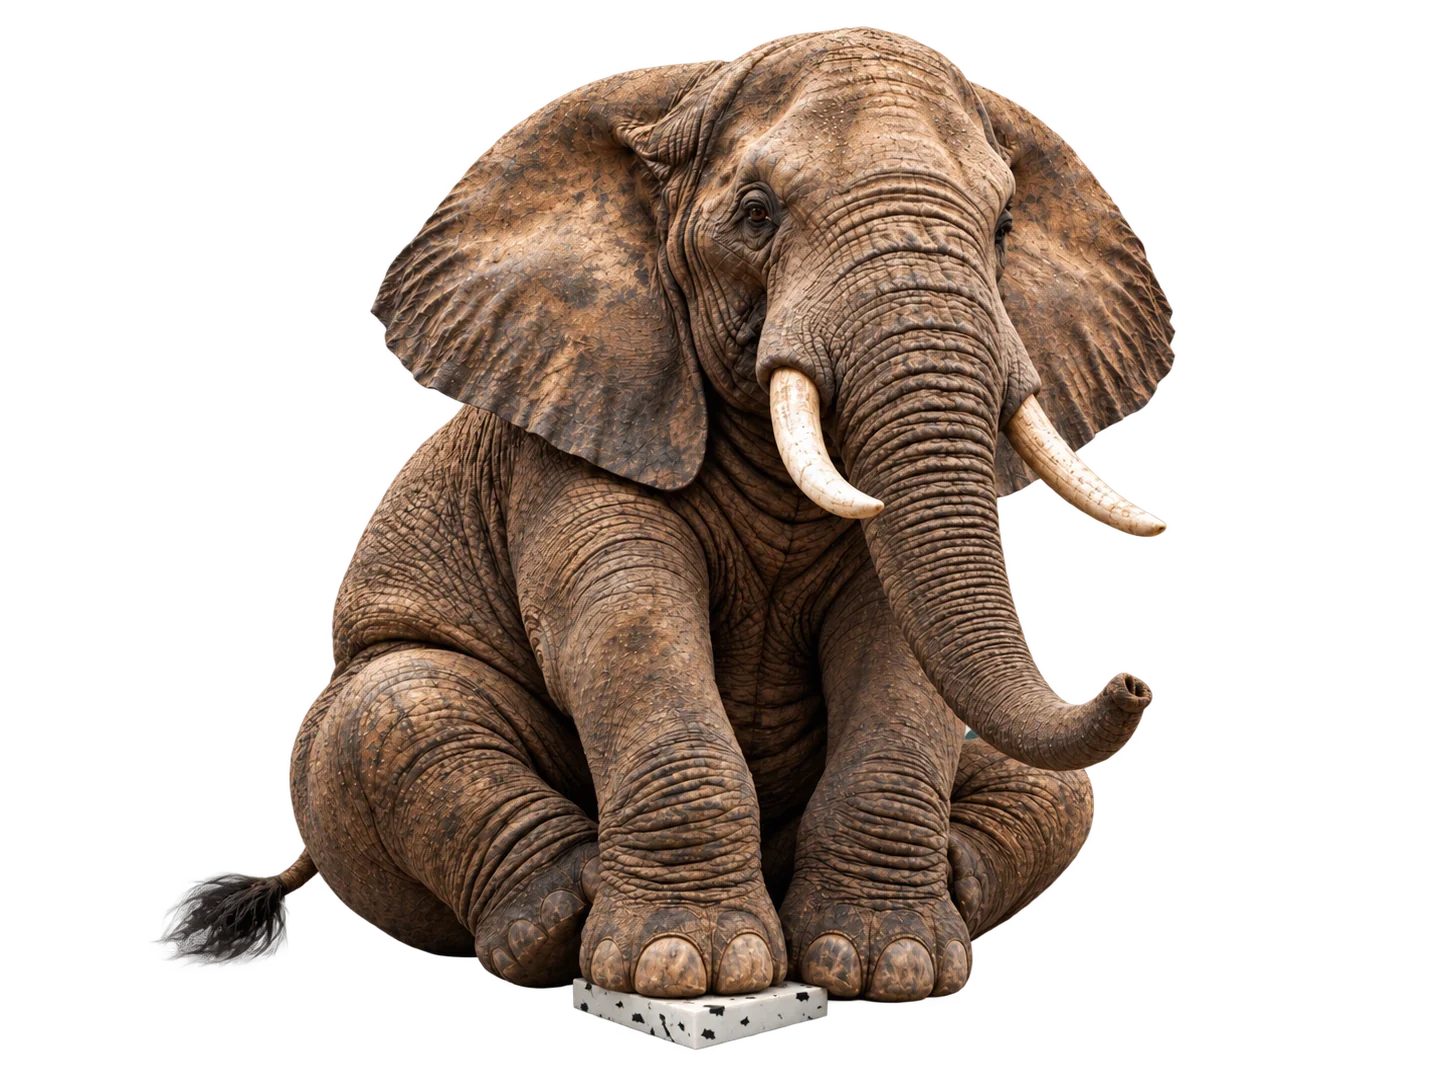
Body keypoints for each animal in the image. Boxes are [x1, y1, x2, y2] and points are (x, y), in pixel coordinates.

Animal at [156, 25, 1175, 1003]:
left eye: (1002, 226)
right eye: (757, 215)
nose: (1129, 682)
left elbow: (895, 649)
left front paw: (890, 967)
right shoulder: (577, 417)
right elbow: (627, 618)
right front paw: (688, 968)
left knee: (1055, 785)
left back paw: (950, 883)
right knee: (400, 706)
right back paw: (555, 922)